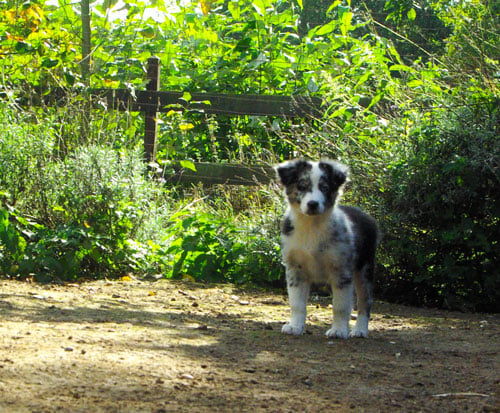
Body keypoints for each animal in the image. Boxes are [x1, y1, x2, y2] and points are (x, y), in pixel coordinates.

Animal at [274, 159, 378, 336]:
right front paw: (295, 326)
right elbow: (297, 303)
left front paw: (339, 330)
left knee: (365, 301)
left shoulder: (341, 271)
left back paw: (360, 330)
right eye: (302, 186)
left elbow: (340, 306)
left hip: (364, 269)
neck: (312, 226)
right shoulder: (295, 269)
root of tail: (366, 216)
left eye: (324, 188)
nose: (313, 204)